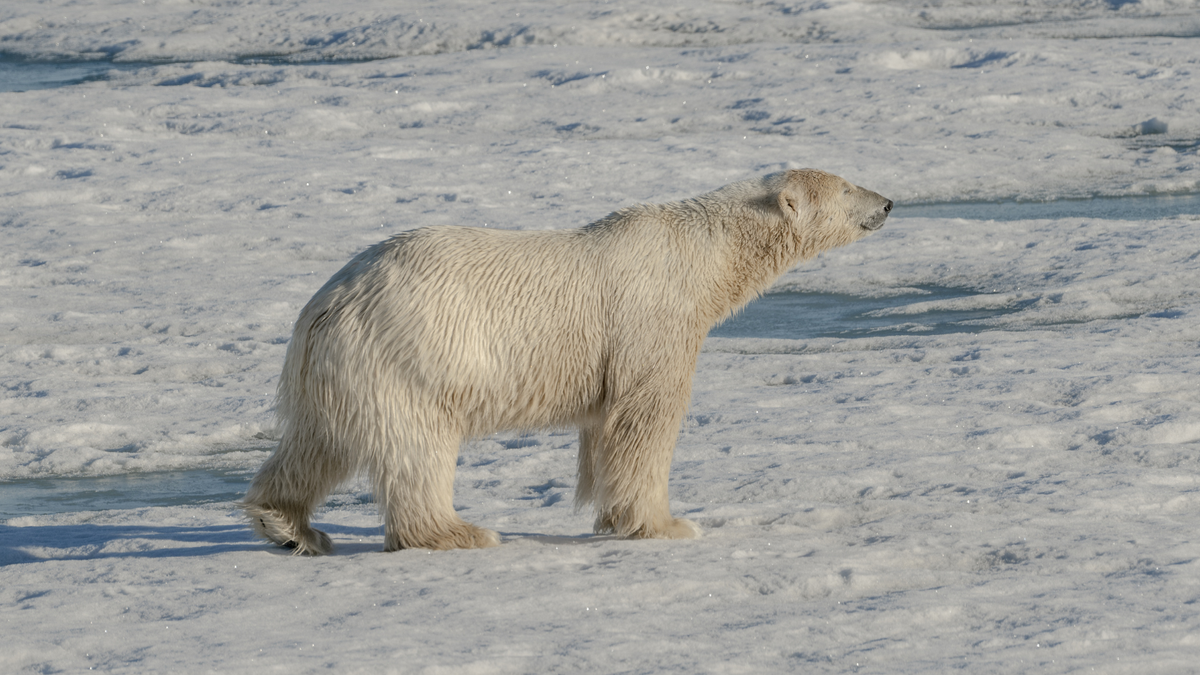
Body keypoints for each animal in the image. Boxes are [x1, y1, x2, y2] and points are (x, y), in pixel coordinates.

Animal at [241, 169, 892, 552]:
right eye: (846, 188)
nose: (888, 202)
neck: (704, 257)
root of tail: (327, 303)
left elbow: (606, 428)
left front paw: (613, 516)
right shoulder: (652, 319)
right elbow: (647, 417)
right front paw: (667, 524)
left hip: (340, 369)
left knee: (317, 443)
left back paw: (290, 526)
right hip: (409, 356)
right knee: (415, 450)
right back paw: (457, 531)